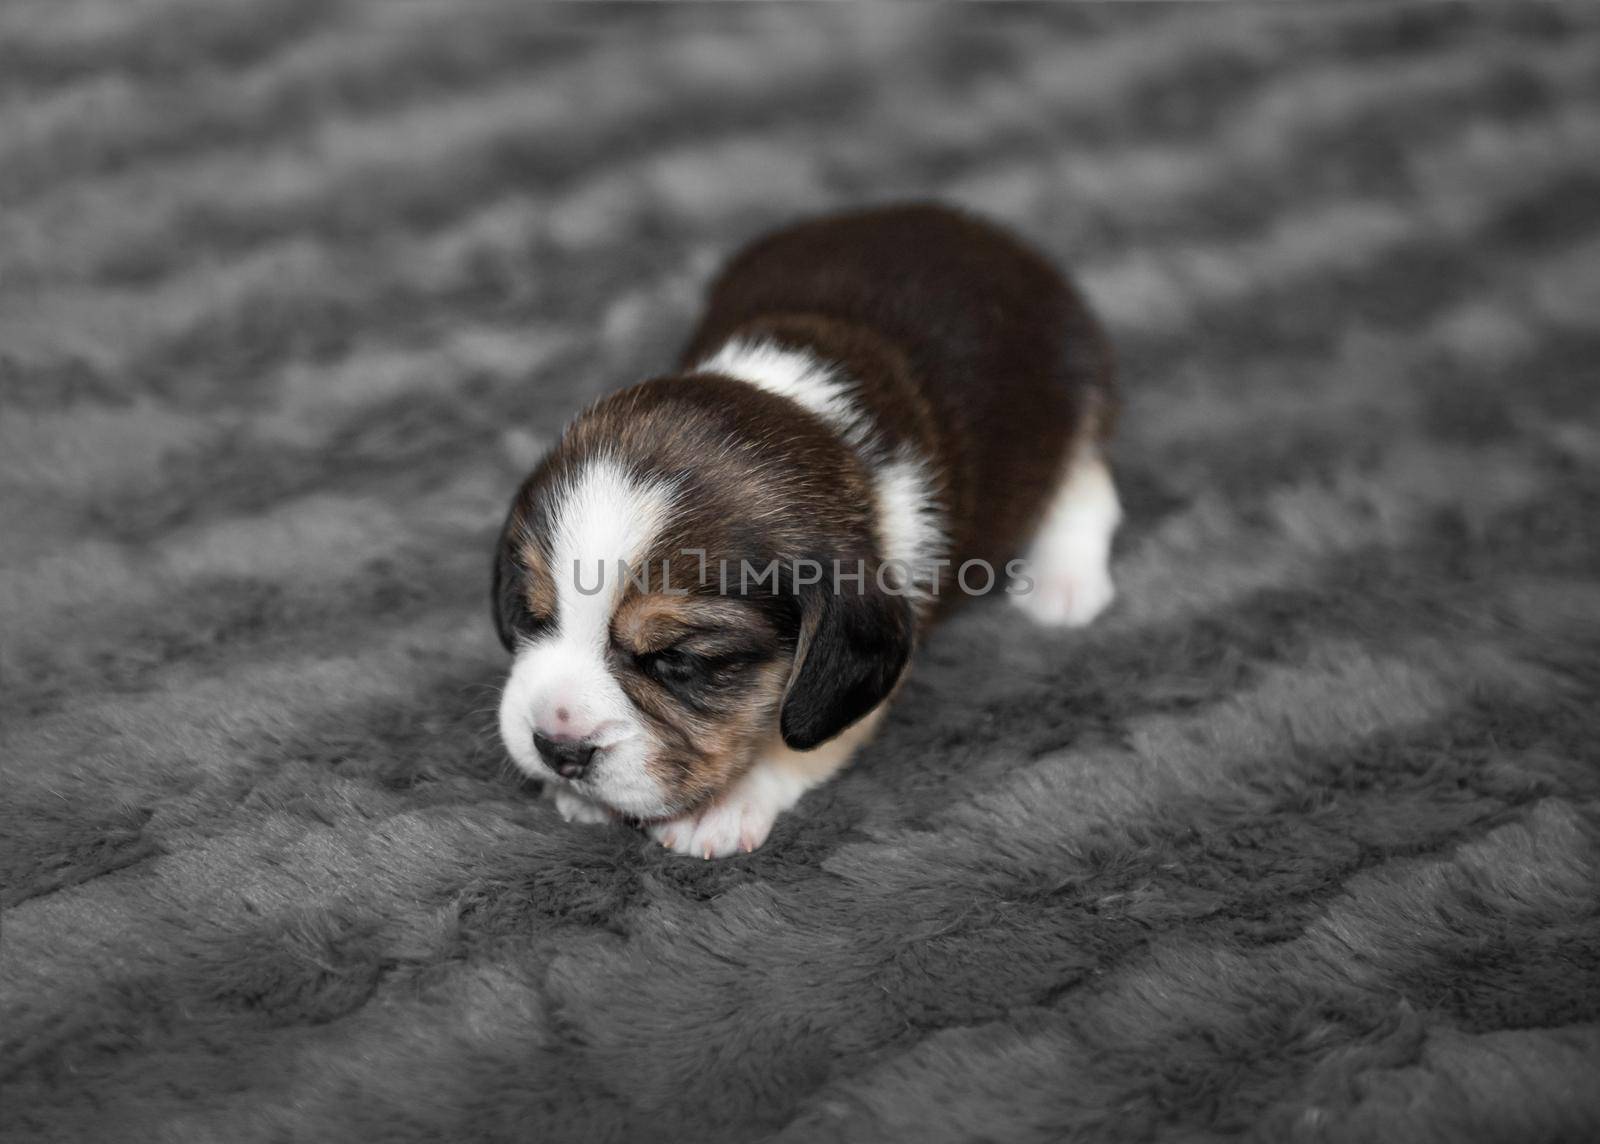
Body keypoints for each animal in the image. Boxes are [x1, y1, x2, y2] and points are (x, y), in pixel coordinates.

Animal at [492, 201, 1120, 857]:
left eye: (680, 661)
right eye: (533, 616)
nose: (557, 749)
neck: (802, 409)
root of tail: (974, 226)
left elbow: (799, 739)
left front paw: (722, 806)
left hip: (1077, 394)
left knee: (1088, 486)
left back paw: (1064, 582)